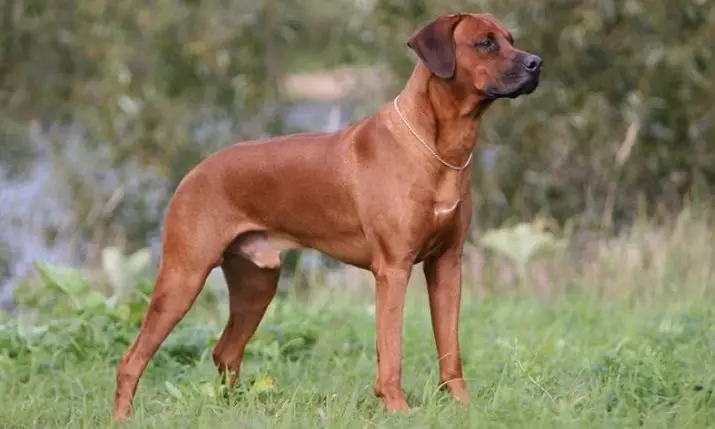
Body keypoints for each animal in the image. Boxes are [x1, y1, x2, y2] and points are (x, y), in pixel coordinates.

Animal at [113, 10, 544, 418]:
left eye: (511, 39)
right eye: (485, 43)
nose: (537, 62)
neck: (438, 147)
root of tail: (194, 173)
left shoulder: (448, 264)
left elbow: (450, 348)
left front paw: (461, 404)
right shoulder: (393, 269)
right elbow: (391, 351)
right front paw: (397, 407)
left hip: (257, 283)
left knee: (226, 351)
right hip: (184, 277)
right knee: (131, 359)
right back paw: (123, 416)